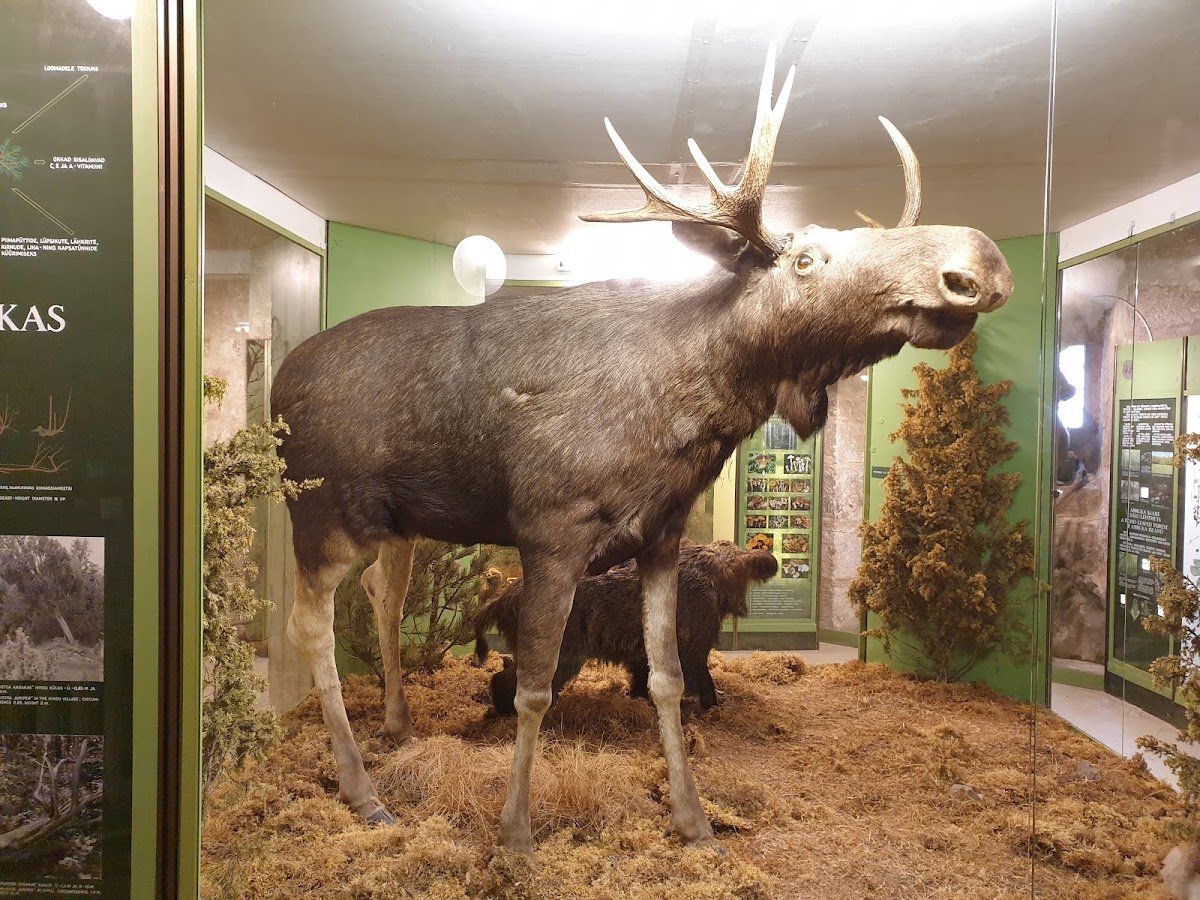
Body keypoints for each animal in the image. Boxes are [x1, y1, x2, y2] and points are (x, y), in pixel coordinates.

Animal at [271, 45, 1013, 853]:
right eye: (807, 259)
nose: (979, 261)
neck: (690, 420)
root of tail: (277, 385)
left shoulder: (659, 534)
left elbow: (666, 678)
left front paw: (695, 821)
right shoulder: (553, 529)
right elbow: (534, 687)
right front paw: (516, 831)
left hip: (397, 522)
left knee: (380, 594)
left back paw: (391, 726)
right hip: (322, 511)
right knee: (308, 624)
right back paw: (362, 789)